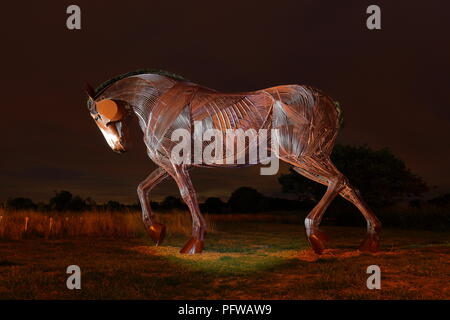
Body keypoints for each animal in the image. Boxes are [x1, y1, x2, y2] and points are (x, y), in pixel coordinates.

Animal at [84, 70, 380, 255]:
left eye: (97, 116)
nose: (119, 148)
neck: (157, 101)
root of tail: (328, 102)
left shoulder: (177, 164)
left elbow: (187, 195)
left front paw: (194, 241)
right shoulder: (168, 164)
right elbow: (142, 188)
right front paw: (156, 231)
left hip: (303, 158)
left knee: (338, 182)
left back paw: (316, 234)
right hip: (310, 159)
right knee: (346, 185)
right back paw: (370, 239)